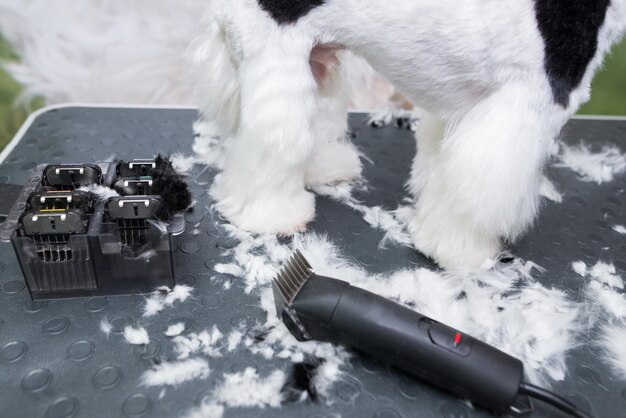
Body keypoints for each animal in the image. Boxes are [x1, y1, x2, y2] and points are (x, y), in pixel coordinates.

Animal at [190, 0, 624, 270]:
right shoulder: (526, 105)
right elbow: (475, 193)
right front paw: (460, 249)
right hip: (277, 57)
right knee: (274, 142)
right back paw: (271, 213)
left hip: (315, 57)